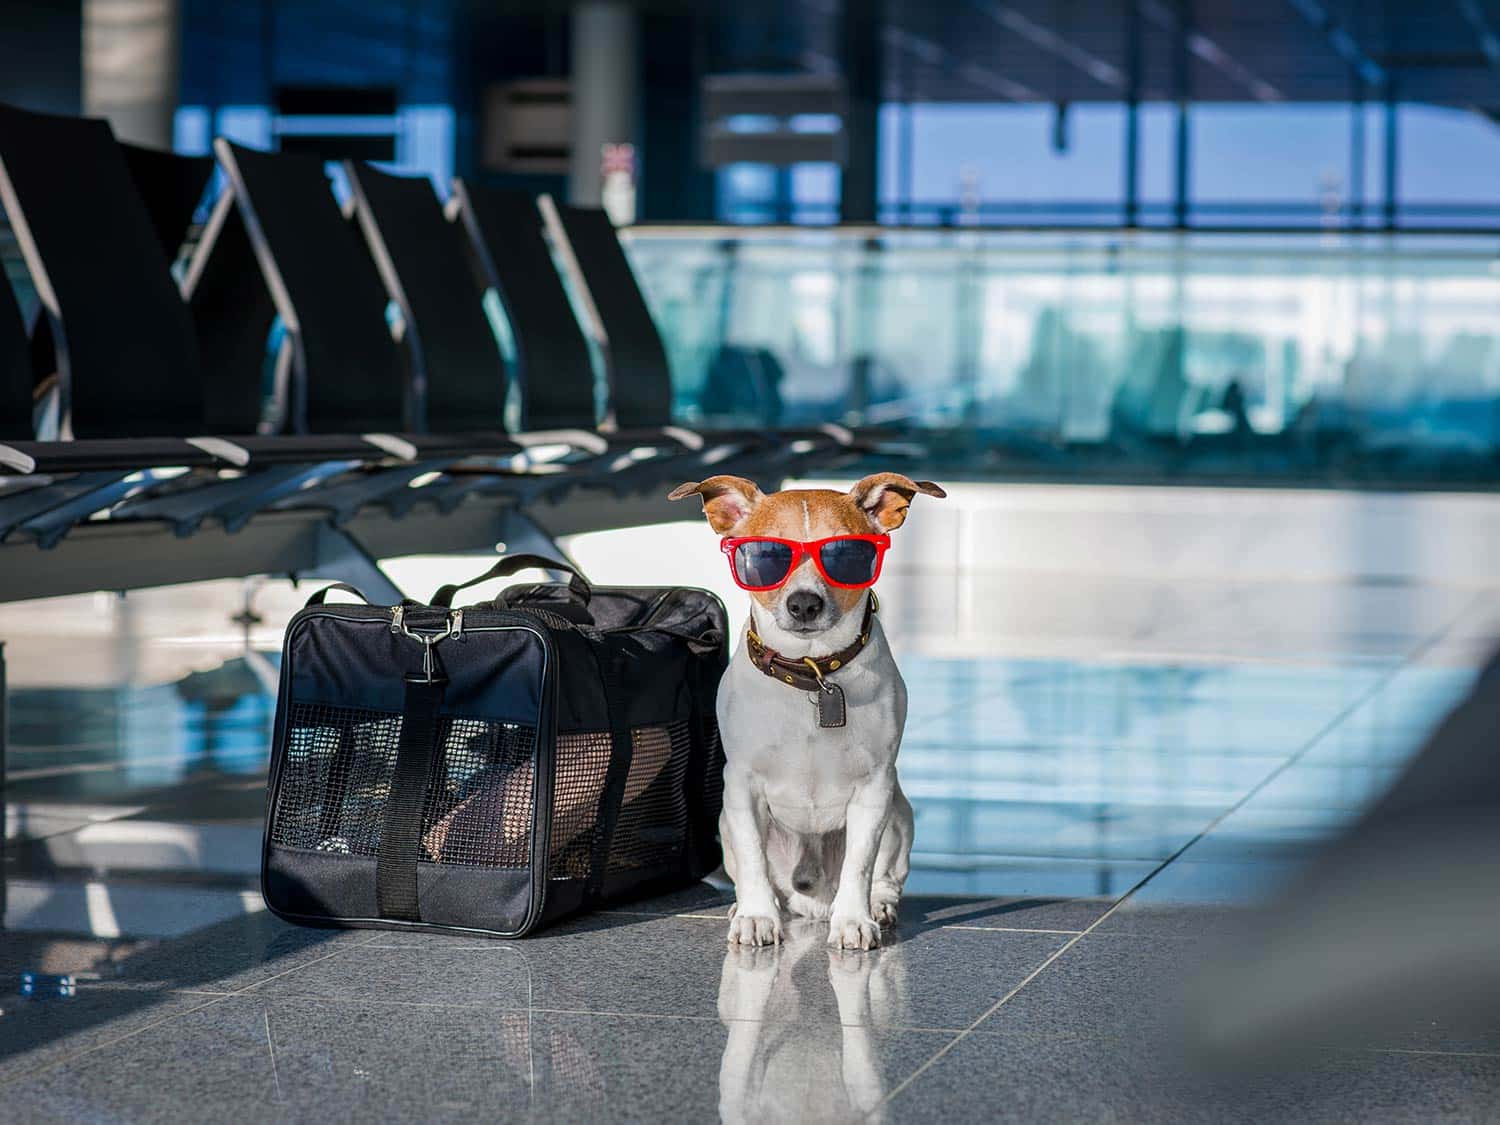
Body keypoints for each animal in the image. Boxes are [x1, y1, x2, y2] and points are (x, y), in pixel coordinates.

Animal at [672, 471, 942, 948]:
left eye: (846, 554)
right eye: (764, 556)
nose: (803, 603)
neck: (811, 672)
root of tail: (811, 903)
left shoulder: (874, 788)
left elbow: (859, 865)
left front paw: (853, 920)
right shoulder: (741, 787)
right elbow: (754, 862)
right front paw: (757, 916)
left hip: (898, 814)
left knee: (885, 876)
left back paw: (877, 905)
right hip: (725, 821)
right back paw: (747, 906)